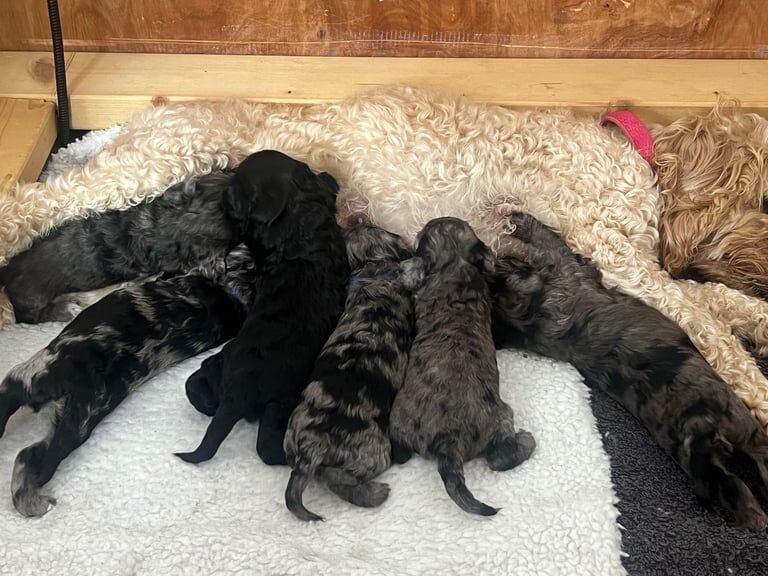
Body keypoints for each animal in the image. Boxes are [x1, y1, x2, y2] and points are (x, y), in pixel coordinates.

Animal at [0, 251, 257, 516]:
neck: (231, 292)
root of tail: (82, 385)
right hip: (75, 422)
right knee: (39, 457)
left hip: (32, 374)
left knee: (19, 435)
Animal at [175, 151, 349, 466]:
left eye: (233, 195)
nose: (222, 191)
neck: (290, 213)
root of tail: (237, 393)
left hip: (275, 399)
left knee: (264, 447)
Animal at [283, 224, 414, 521]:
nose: (356, 219)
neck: (373, 271)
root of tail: (311, 451)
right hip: (374, 452)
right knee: (341, 480)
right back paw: (375, 493)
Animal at [491, 211, 768, 530]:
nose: (496, 251)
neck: (528, 317)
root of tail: (698, 428)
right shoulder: (570, 268)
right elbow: (550, 243)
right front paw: (523, 221)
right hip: (740, 424)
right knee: (754, 458)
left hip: (700, 460)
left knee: (722, 483)